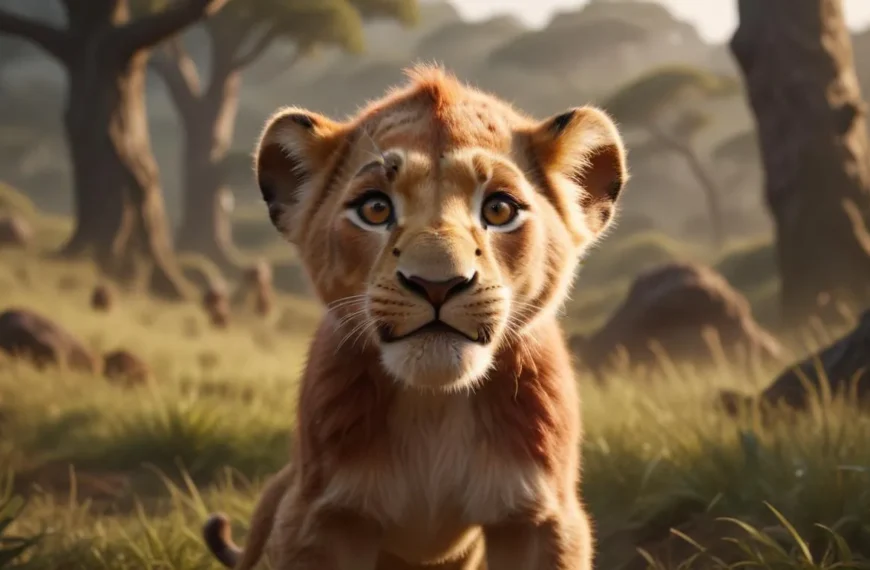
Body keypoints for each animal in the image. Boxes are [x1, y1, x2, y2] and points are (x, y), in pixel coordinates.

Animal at [202, 64, 629, 570]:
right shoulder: (317, 517)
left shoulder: (542, 517)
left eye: (499, 208)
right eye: (375, 208)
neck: (434, 406)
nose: (437, 283)